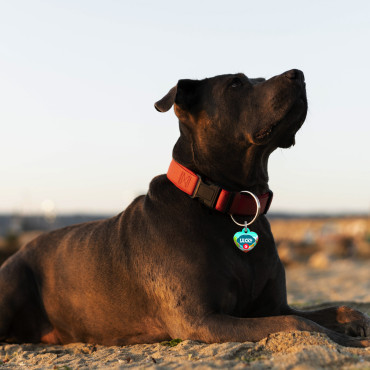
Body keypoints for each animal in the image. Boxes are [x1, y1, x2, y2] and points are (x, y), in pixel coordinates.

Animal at [0, 70, 370, 346]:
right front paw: (353, 342)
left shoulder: (272, 305)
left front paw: (356, 322)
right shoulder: (202, 319)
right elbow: (300, 325)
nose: (299, 74)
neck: (230, 203)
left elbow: (331, 311)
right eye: (236, 83)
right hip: (13, 283)